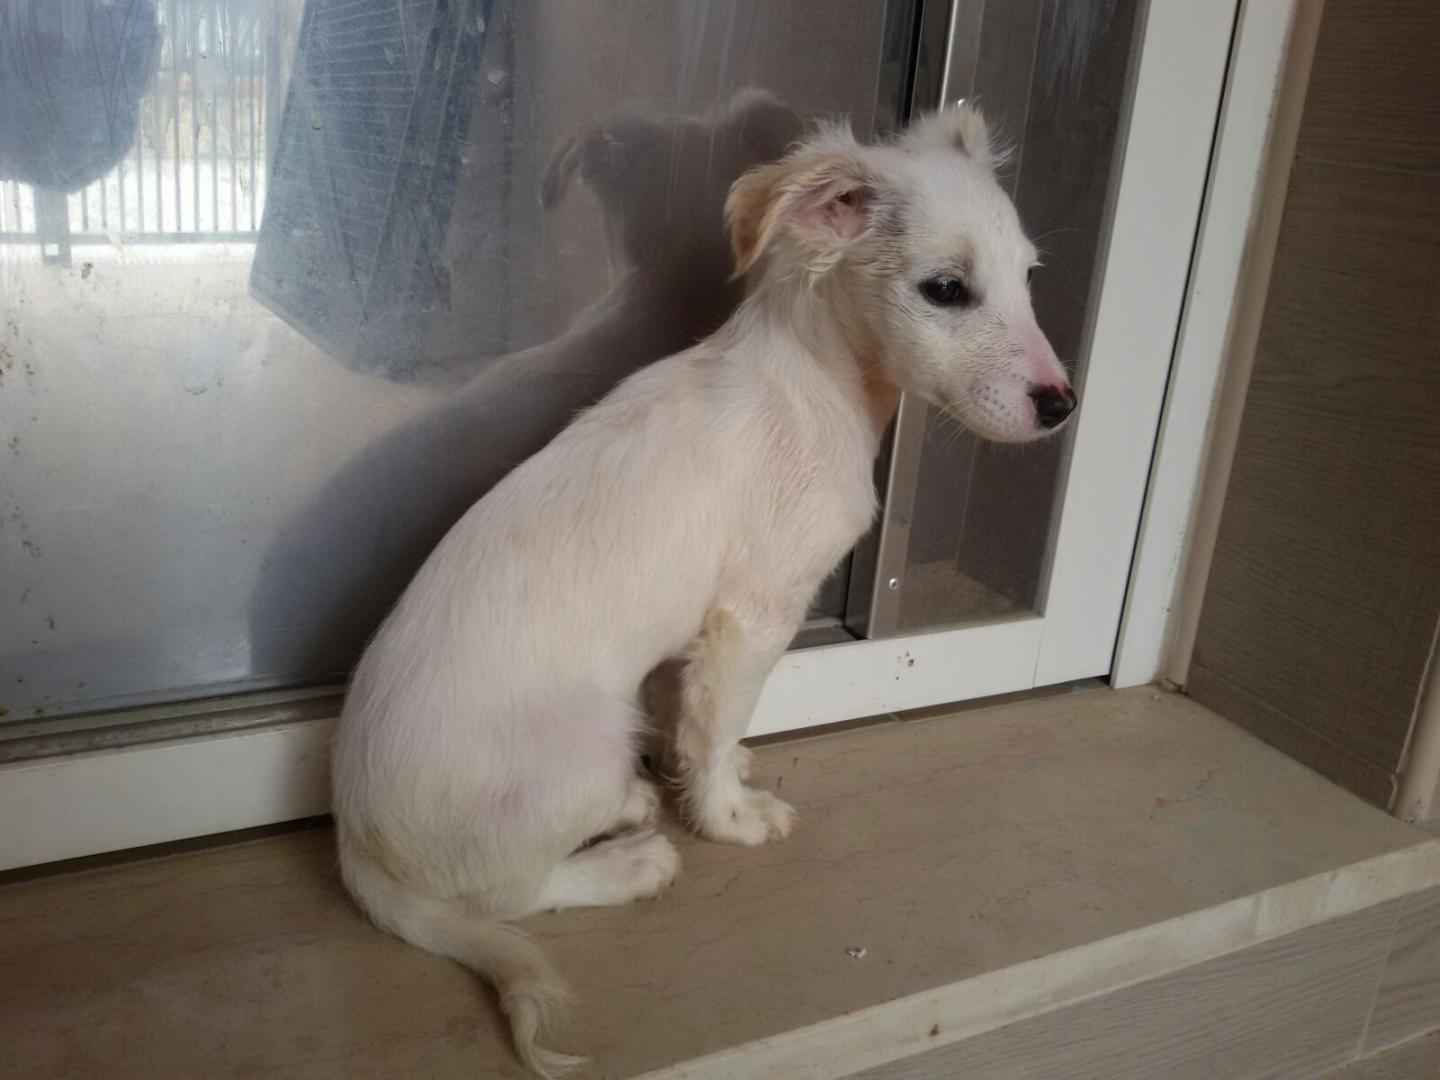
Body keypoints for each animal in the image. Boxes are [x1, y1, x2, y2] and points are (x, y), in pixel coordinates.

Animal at [331, 104, 1076, 1077]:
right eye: (946, 290)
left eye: (1027, 275)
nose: (1064, 405)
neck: (814, 381)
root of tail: (353, 839)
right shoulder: (752, 617)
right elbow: (715, 727)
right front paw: (726, 817)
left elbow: (686, 717)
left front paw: (691, 775)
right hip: (582, 745)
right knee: (507, 894)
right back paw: (629, 864)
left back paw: (631, 801)